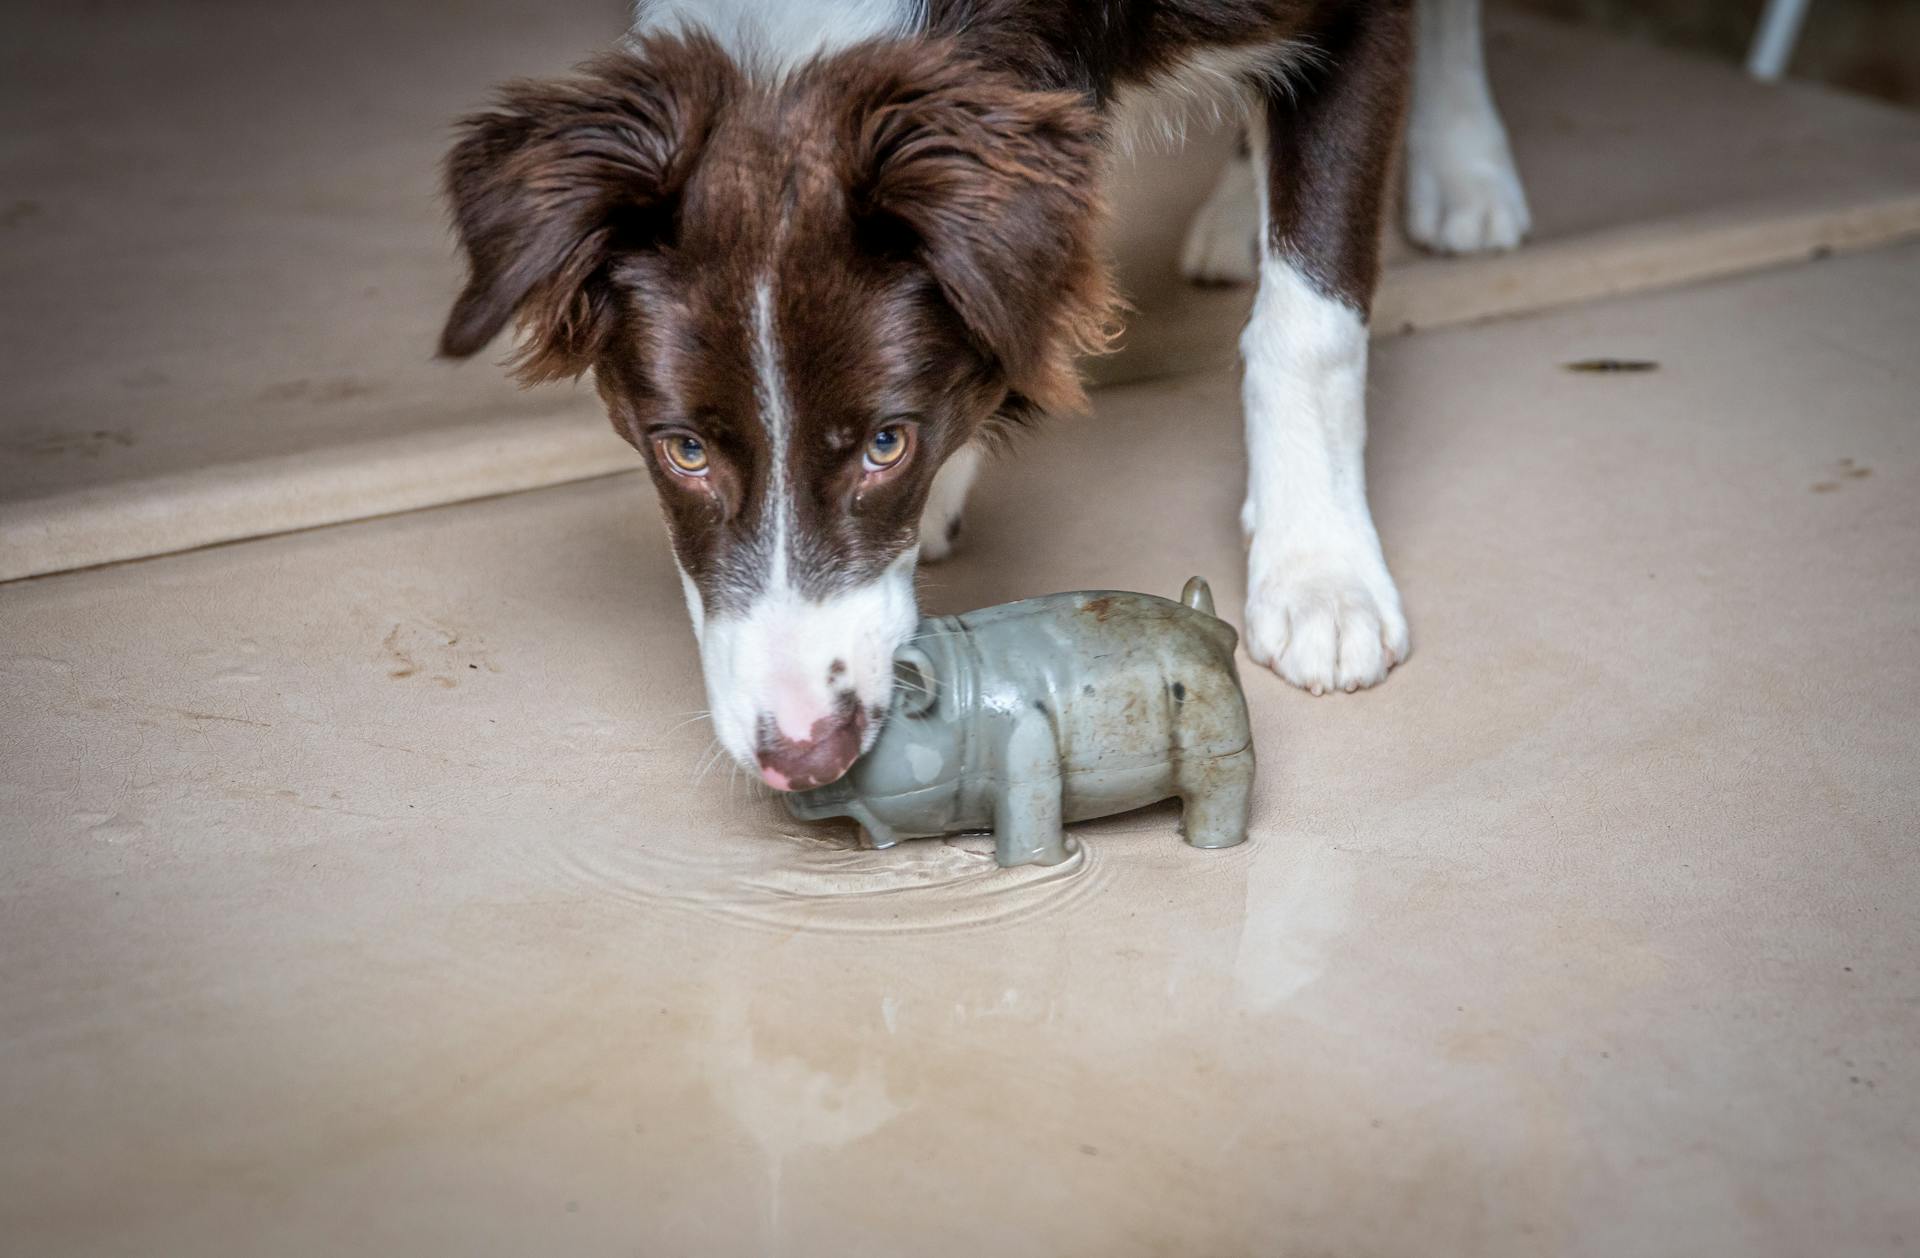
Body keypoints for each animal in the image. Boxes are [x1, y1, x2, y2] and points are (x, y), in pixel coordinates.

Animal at [435, 0, 1528, 787]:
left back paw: (1462, 164)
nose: (805, 758)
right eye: (684, 450)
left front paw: (1321, 576)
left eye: (886, 441)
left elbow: (1311, 321)